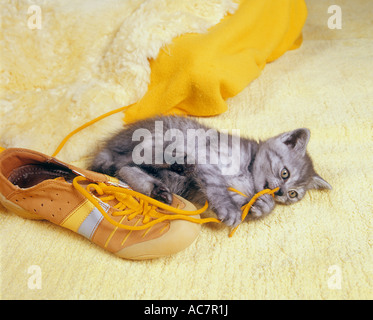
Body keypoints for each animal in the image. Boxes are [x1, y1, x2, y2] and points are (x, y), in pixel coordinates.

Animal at [91, 116, 332, 226]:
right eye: (285, 174)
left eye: (293, 194)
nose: (281, 192)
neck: (248, 169)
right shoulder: (208, 156)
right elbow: (217, 185)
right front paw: (229, 209)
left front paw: (263, 205)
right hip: (164, 135)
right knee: (135, 157)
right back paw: (178, 161)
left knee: (124, 168)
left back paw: (157, 190)